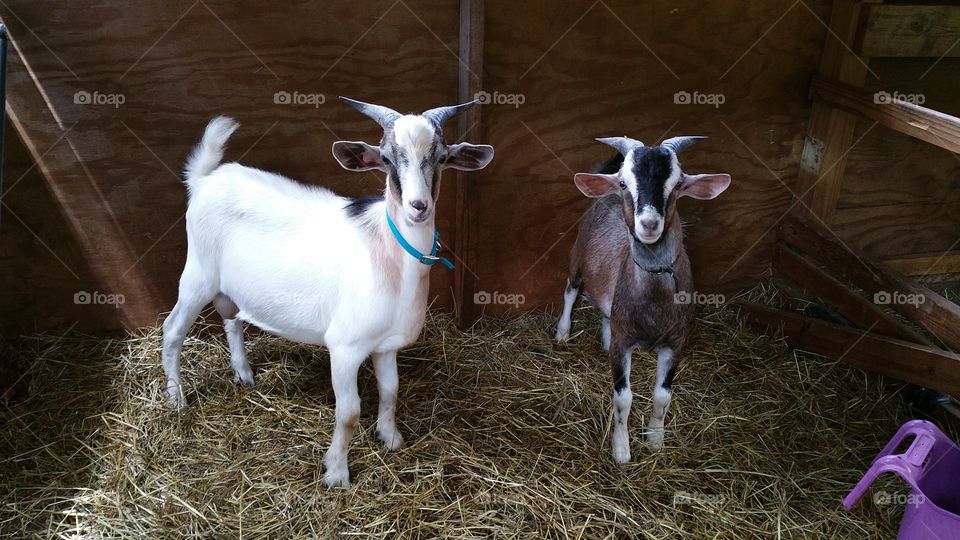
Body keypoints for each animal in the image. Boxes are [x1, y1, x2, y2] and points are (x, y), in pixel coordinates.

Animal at [161, 98, 494, 488]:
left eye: (441, 157)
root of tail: (206, 180)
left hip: (227, 284)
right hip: (197, 274)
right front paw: (336, 473)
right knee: (173, 331)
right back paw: (177, 399)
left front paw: (390, 438)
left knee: (232, 319)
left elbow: (391, 391)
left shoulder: (386, 344)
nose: (418, 206)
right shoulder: (345, 347)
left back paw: (244, 375)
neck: (390, 255)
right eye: (386, 158)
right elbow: (348, 412)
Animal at [555, 136, 730, 462]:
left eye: (678, 185)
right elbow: (623, 398)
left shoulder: (676, 342)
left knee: (606, 313)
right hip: (577, 252)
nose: (648, 224)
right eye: (625, 184)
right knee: (570, 290)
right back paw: (562, 332)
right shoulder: (625, 344)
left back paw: (604, 338)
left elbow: (662, 396)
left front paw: (655, 440)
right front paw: (622, 450)